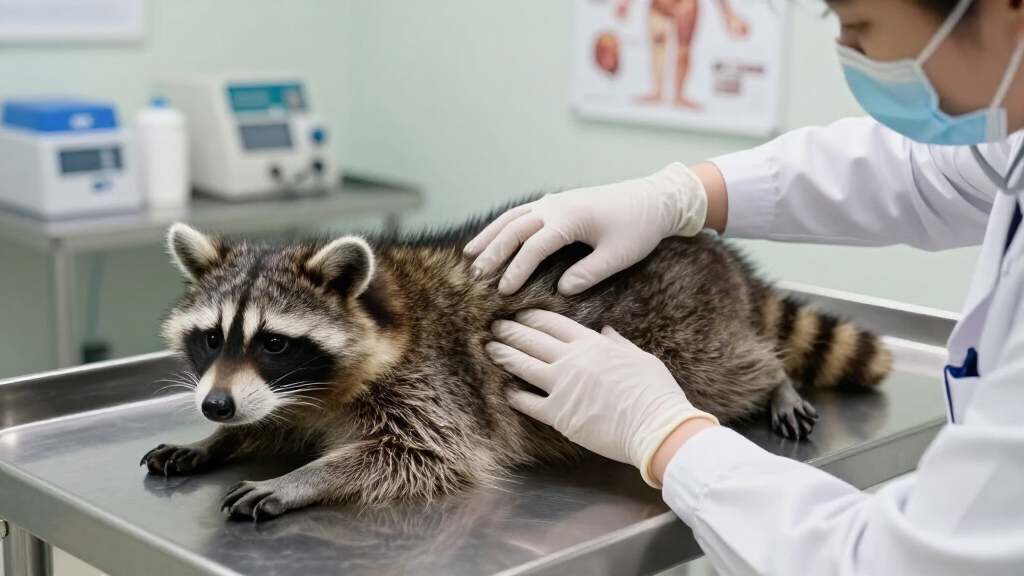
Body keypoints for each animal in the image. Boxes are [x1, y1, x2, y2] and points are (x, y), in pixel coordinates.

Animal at [142, 207, 892, 520]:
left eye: (273, 342)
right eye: (211, 338)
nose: (214, 404)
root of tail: (708, 246)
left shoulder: (434, 380)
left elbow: (422, 453)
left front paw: (304, 476)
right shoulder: (285, 395)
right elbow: (270, 420)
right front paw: (215, 441)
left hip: (689, 337)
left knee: (730, 368)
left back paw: (775, 379)